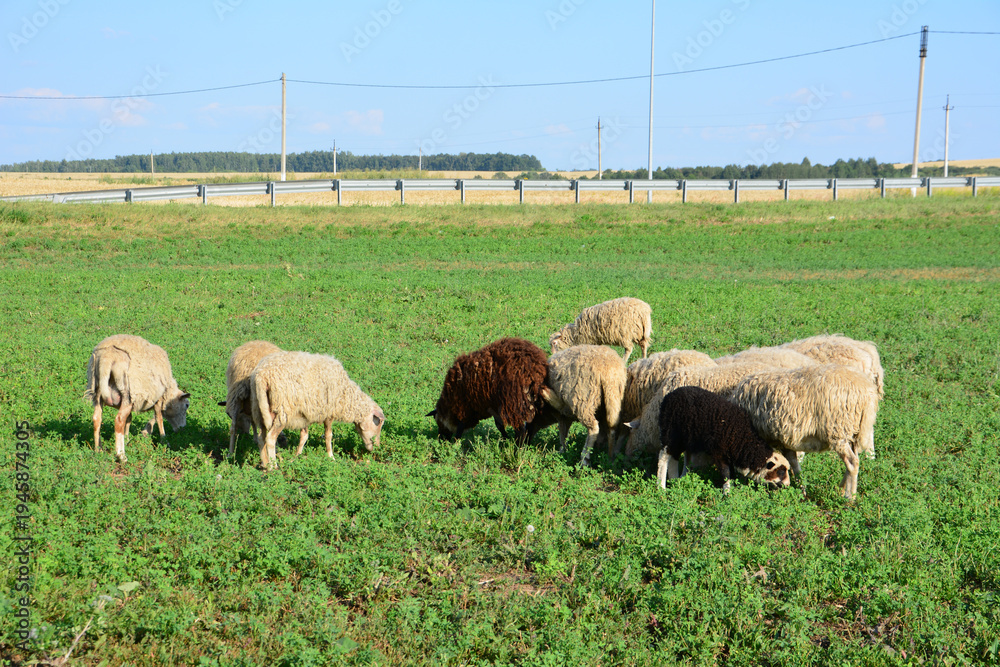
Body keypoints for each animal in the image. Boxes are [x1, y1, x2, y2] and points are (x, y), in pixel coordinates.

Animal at [84, 334, 190, 463]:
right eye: (186, 405)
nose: (182, 428)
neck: (168, 391)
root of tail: (107, 358)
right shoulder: (157, 399)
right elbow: (159, 418)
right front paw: (163, 440)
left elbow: (129, 419)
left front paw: (128, 438)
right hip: (127, 393)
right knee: (119, 420)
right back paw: (121, 456)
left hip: (98, 391)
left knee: (97, 418)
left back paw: (98, 450)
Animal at [249, 351, 385, 469]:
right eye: (378, 424)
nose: (377, 448)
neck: (346, 395)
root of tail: (262, 375)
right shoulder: (329, 411)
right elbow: (328, 435)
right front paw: (331, 457)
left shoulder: (304, 414)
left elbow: (304, 436)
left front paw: (296, 457)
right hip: (283, 411)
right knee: (270, 438)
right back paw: (273, 466)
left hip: (258, 409)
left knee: (261, 438)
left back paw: (265, 464)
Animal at [656, 386, 791, 494]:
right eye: (781, 472)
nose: (788, 485)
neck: (742, 439)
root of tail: (669, 395)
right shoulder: (720, 453)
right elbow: (726, 474)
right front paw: (727, 494)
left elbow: (731, 474)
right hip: (671, 432)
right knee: (664, 456)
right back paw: (661, 487)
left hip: (685, 438)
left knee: (675, 456)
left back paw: (675, 481)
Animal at [730, 364, 879, 500]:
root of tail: (866, 392)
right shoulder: (785, 441)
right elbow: (794, 465)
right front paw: (802, 491)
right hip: (853, 432)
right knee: (853, 460)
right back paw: (840, 489)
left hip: (838, 431)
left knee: (852, 462)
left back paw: (850, 497)